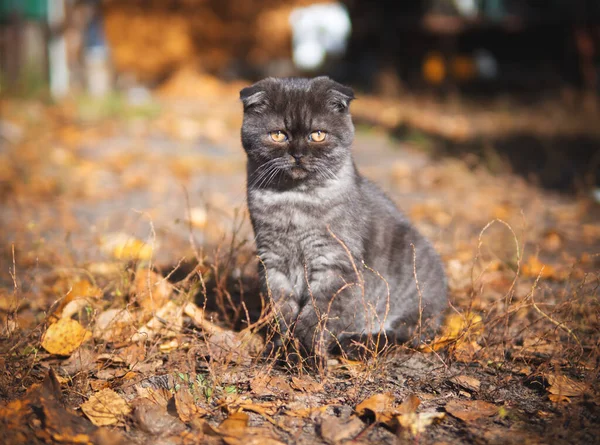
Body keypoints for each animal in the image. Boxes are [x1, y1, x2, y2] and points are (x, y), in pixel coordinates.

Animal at [239, 75, 446, 360]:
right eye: (278, 134)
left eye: (318, 134)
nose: (298, 154)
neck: (296, 201)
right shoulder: (273, 262)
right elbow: (282, 312)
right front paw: (282, 350)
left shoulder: (336, 262)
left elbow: (318, 314)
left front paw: (307, 353)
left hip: (414, 298)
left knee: (404, 334)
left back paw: (355, 344)